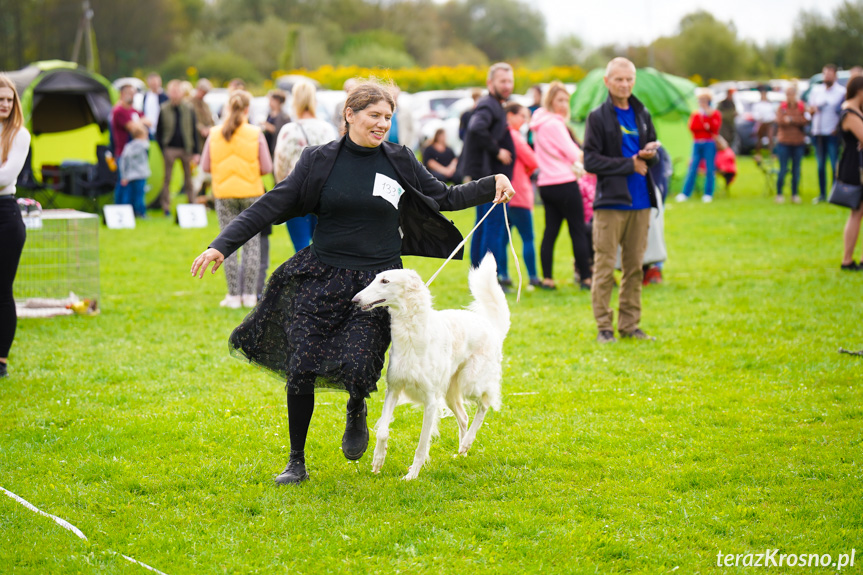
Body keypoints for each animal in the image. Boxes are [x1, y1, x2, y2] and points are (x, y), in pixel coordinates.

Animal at [352, 254, 510, 480]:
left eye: (385, 281)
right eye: (375, 278)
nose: (354, 300)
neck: (412, 335)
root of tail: (492, 327)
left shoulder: (430, 401)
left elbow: (422, 443)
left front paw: (412, 475)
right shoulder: (394, 388)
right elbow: (382, 430)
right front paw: (378, 461)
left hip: (471, 382)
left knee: (485, 404)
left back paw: (468, 441)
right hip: (451, 391)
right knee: (464, 417)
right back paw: (462, 450)